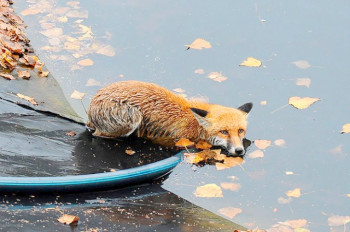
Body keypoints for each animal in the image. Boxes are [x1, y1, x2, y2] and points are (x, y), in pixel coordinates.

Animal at [86, 80, 253, 155]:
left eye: (240, 131)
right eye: (224, 132)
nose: (239, 151)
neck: (194, 124)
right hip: (132, 118)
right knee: (98, 134)